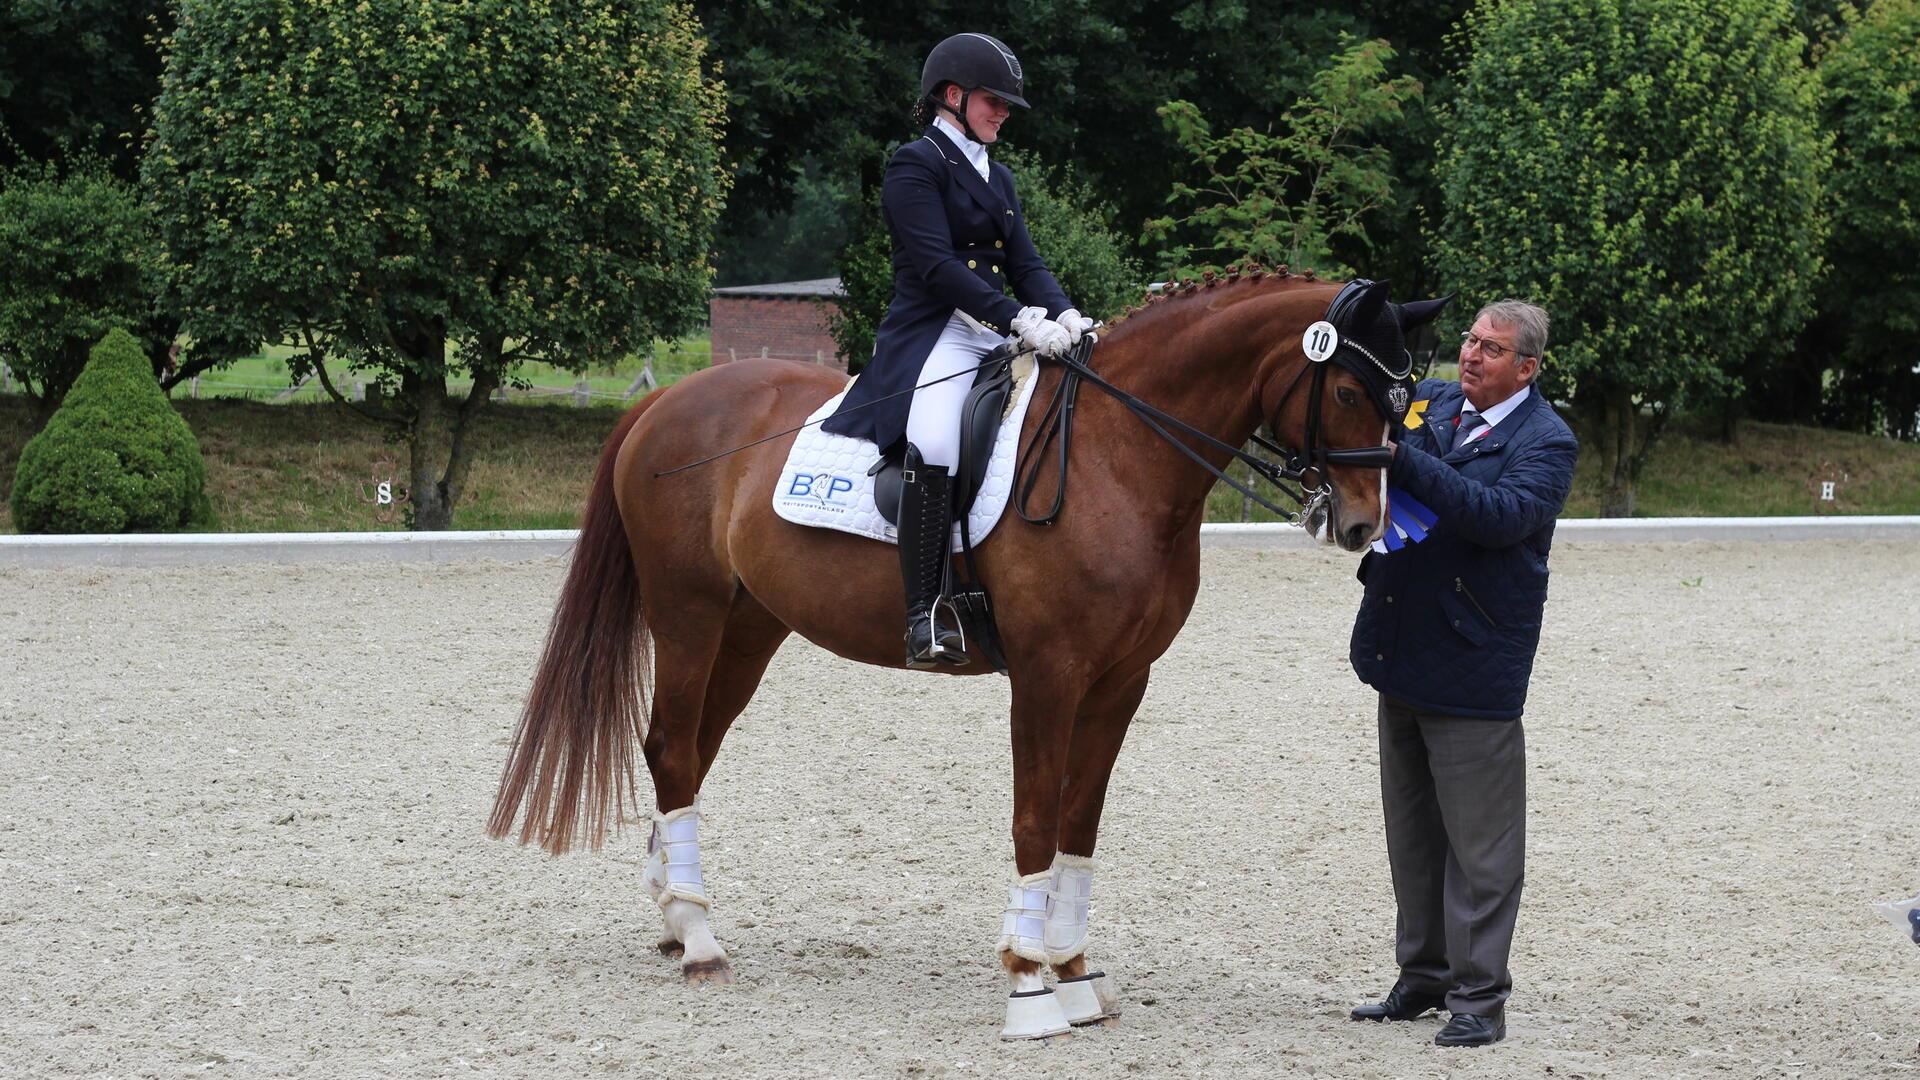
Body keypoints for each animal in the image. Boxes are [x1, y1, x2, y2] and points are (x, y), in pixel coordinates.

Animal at [491, 267, 1443, 1037]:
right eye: (1349, 390)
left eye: (1402, 400)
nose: (1364, 525)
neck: (1119, 457)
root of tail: (669, 400)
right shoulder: (1050, 676)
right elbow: (1033, 816)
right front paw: (1028, 987)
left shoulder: (1120, 681)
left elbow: (1079, 821)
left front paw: (1074, 974)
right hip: (687, 614)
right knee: (669, 747)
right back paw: (698, 941)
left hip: (750, 626)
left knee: (686, 752)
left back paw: (673, 914)